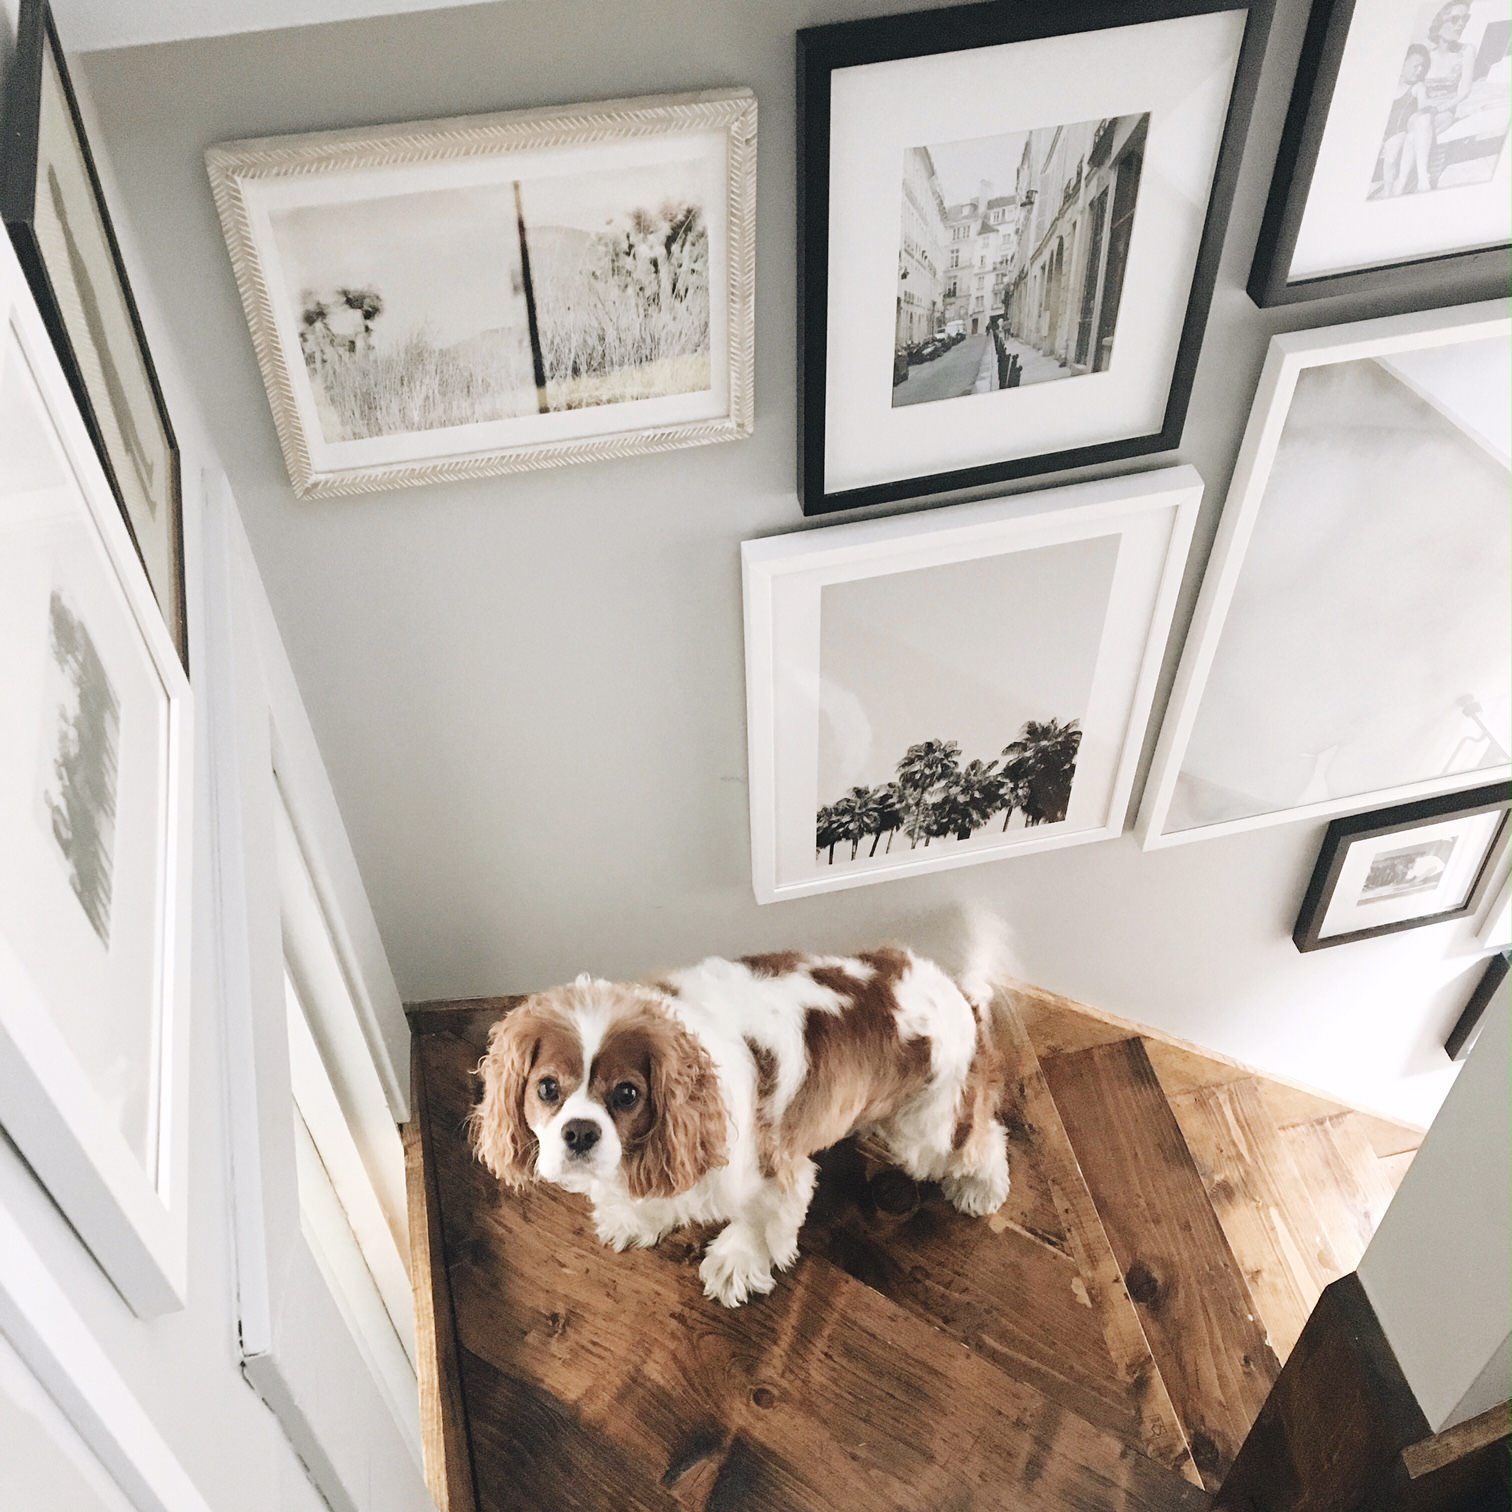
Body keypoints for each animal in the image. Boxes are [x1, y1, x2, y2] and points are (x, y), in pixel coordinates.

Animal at [468, 949, 1016, 1306]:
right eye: (547, 1089)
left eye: (626, 1094)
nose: (580, 1132)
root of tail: (953, 989)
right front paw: (636, 1218)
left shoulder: (775, 1166)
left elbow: (761, 1218)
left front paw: (736, 1263)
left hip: (924, 1129)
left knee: (985, 1137)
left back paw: (981, 1188)